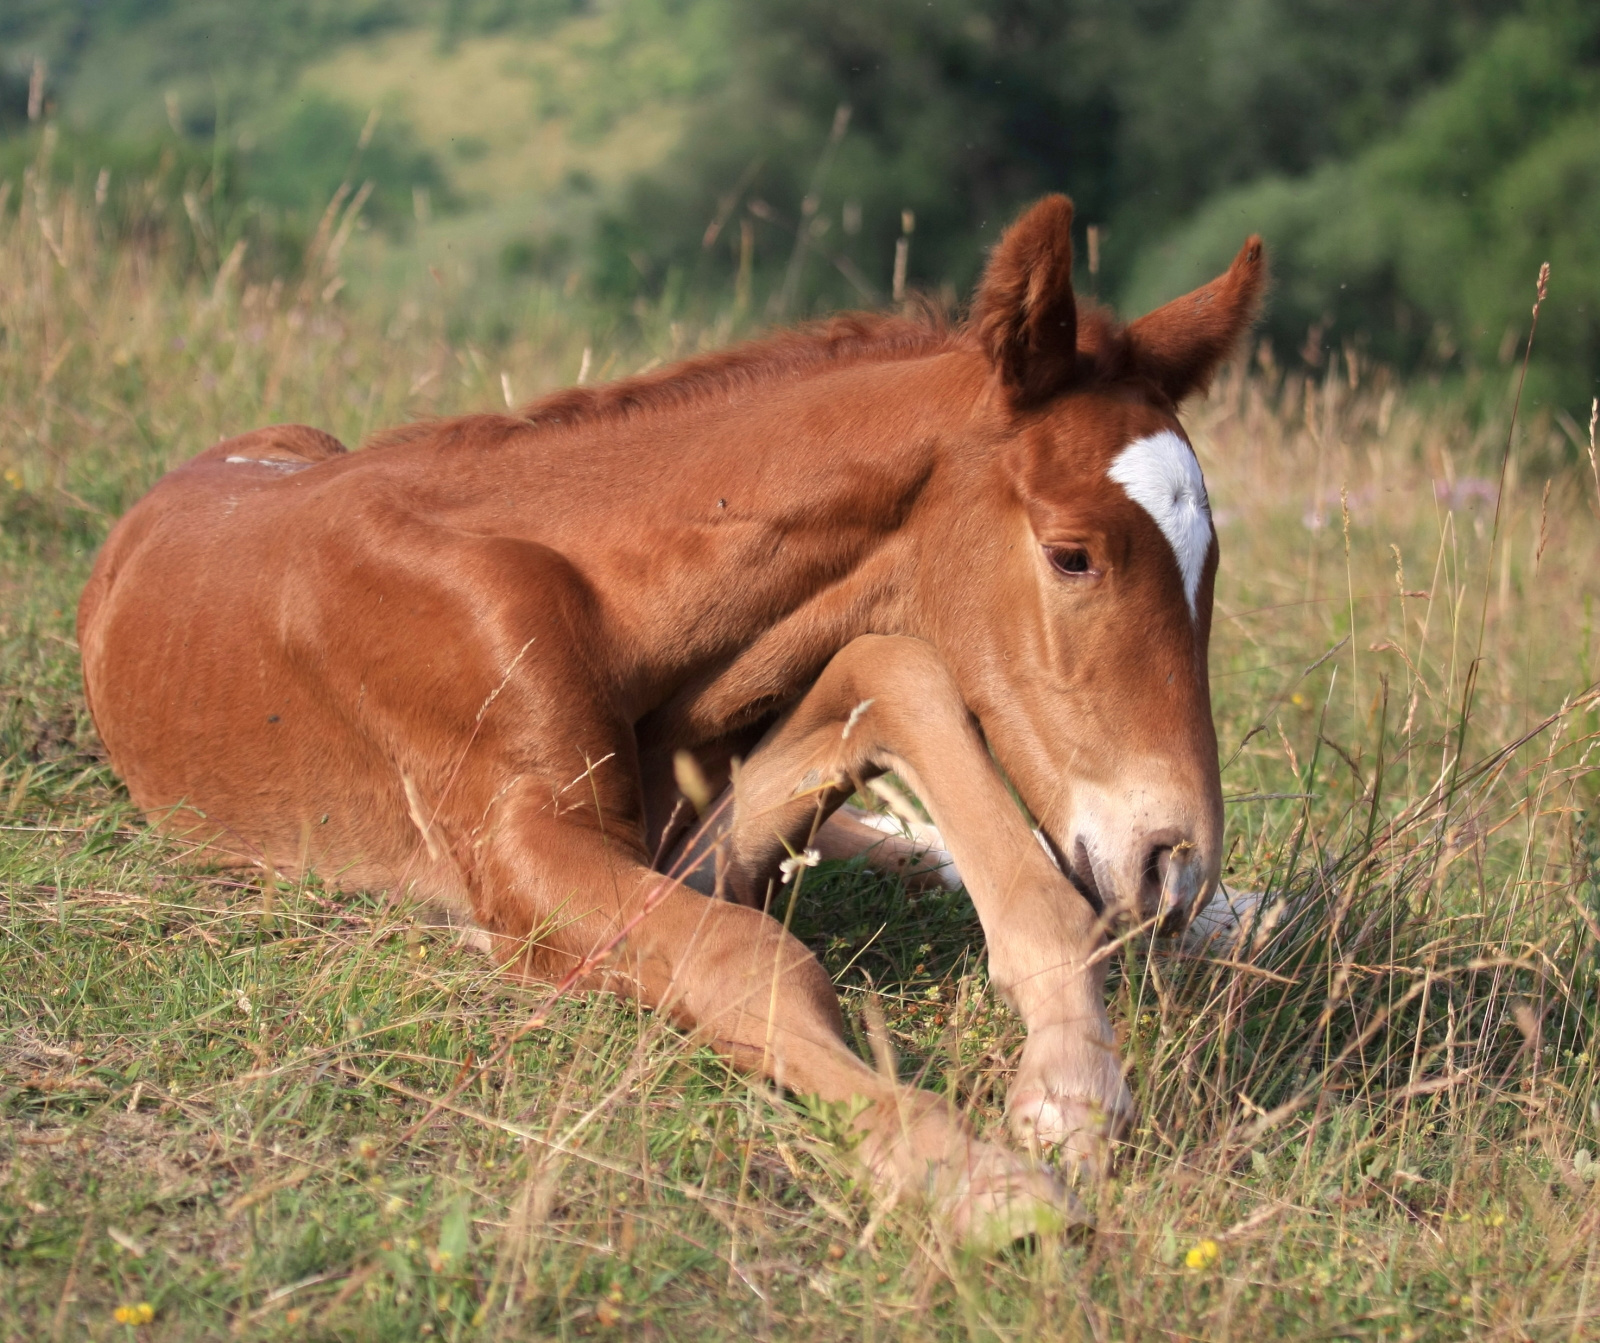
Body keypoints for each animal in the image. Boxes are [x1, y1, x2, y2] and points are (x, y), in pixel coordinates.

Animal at [81, 196, 1260, 1242]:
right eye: (1072, 554)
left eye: (1211, 559)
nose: (1174, 864)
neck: (593, 583)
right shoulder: (520, 859)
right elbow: (748, 959)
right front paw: (974, 1177)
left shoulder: (696, 843)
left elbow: (895, 662)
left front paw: (1071, 1080)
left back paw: (1242, 913)